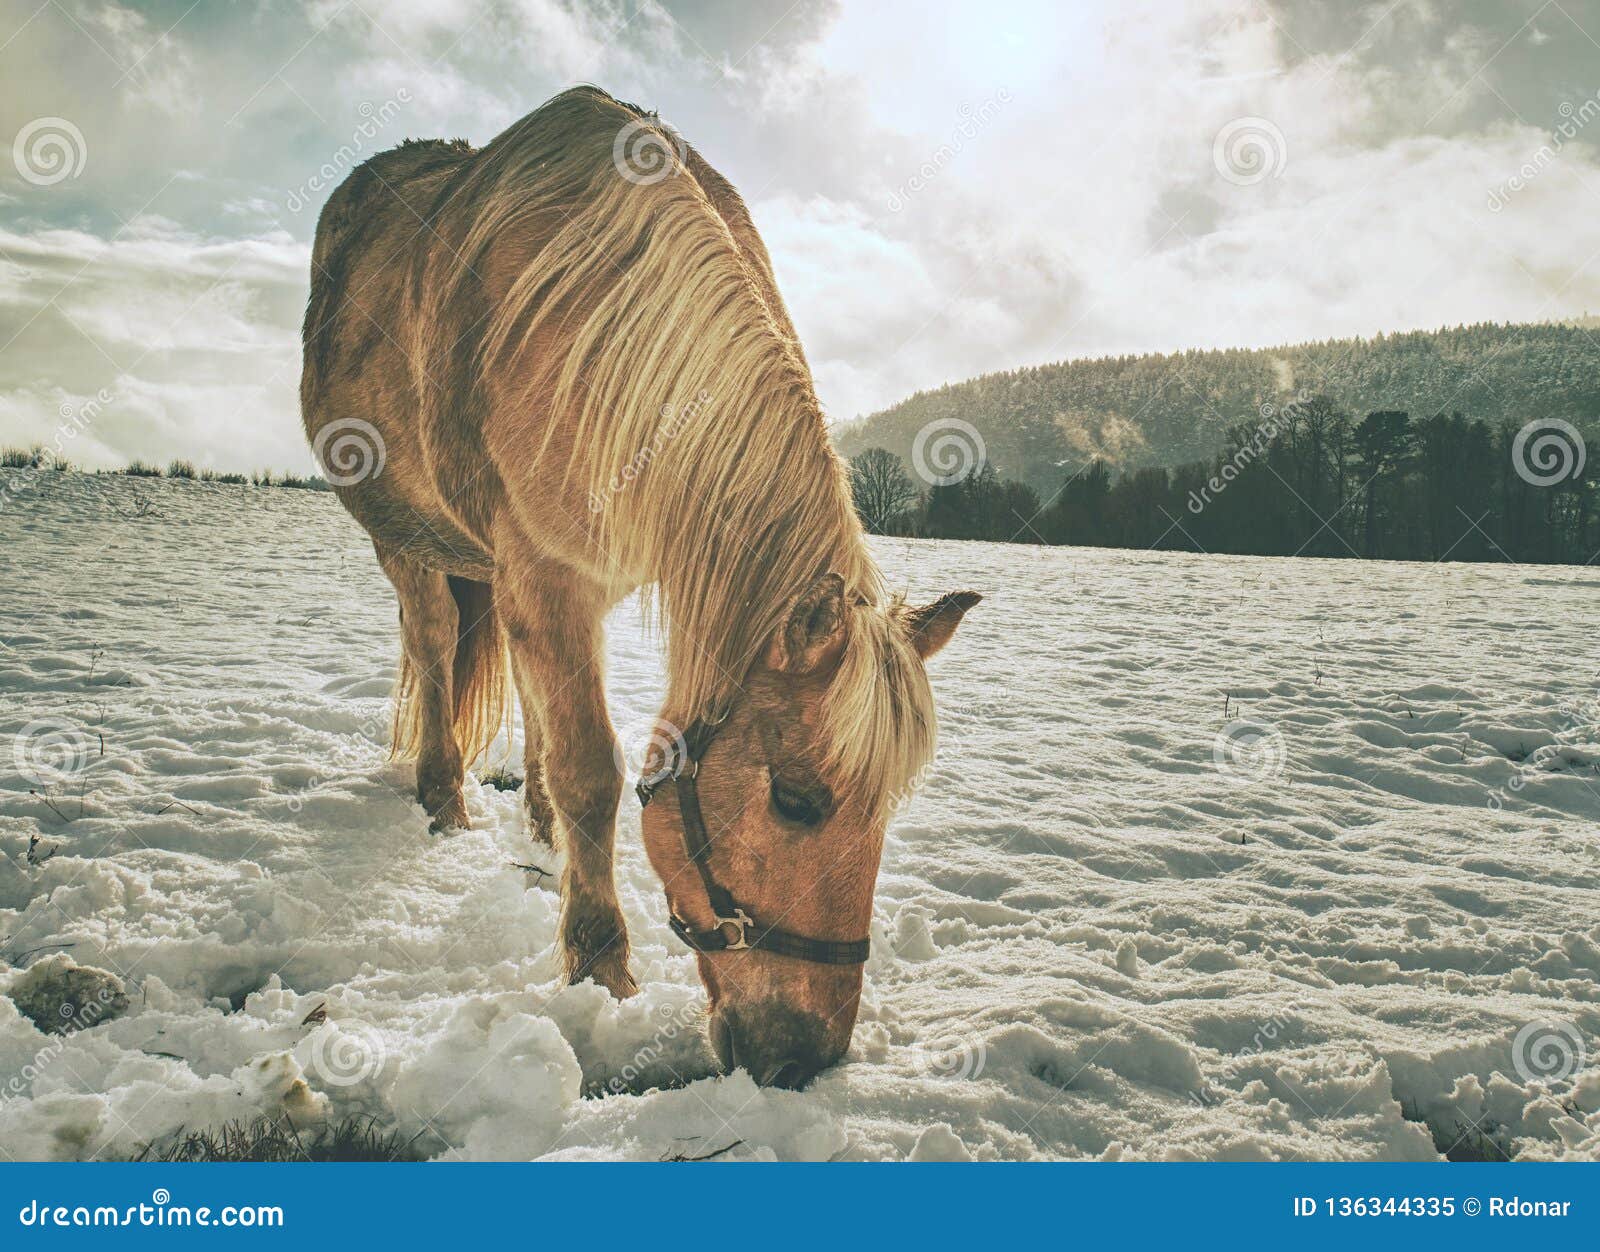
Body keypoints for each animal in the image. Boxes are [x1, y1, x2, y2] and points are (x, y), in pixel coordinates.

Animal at [299, 85, 972, 1088]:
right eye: (796, 801)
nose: (805, 1059)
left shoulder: (574, 581)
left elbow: (567, 736)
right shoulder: (548, 576)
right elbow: (591, 771)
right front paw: (601, 967)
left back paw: (534, 830)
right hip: (406, 541)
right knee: (433, 645)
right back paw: (444, 802)